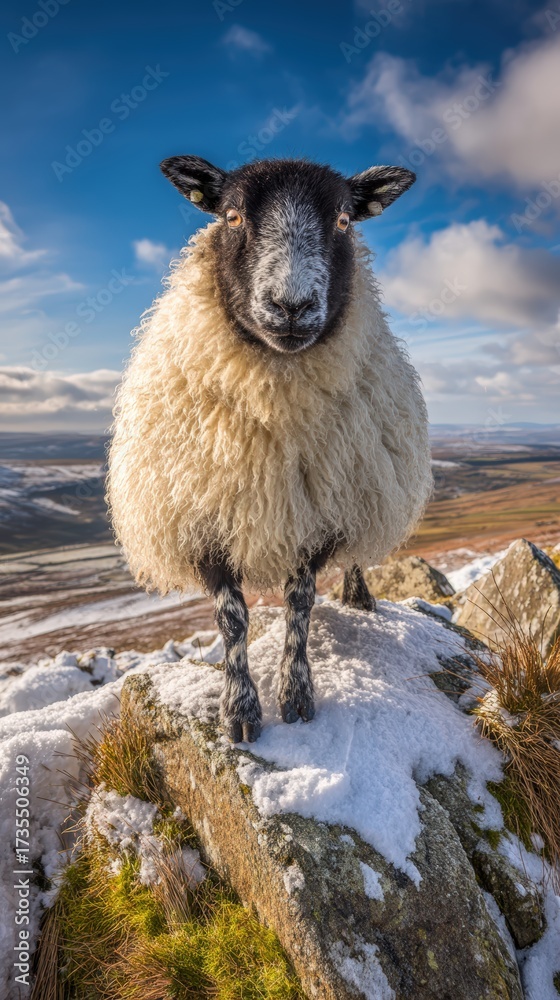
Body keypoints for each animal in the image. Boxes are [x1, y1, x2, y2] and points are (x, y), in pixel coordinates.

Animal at [107, 156, 433, 743]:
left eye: (344, 221)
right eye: (232, 216)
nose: (291, 306)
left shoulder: (319, 517)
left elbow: (299, 603)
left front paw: (296, 696)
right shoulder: (200, 520)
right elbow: (232, 618)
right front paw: (239, 710)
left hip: (365, 491)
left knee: (358, 555)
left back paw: (359, 596)